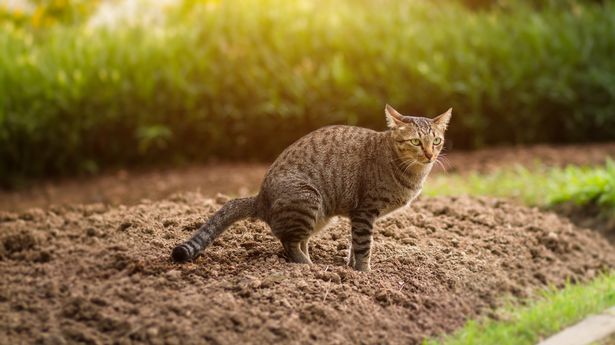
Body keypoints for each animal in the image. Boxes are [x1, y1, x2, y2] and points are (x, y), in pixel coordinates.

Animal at [173, 103, 452, 270]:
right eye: (416, 142)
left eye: (437, 141)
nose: (430, 154)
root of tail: (260, 198)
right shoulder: (364, 212)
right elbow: (364, 246)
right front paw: (364, 273)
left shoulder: (357, 217)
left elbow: (354, 246)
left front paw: (350, 267)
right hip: (308, 199)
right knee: (288, 242)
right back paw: (307, 267)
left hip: (320, 215)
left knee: (298, 239)